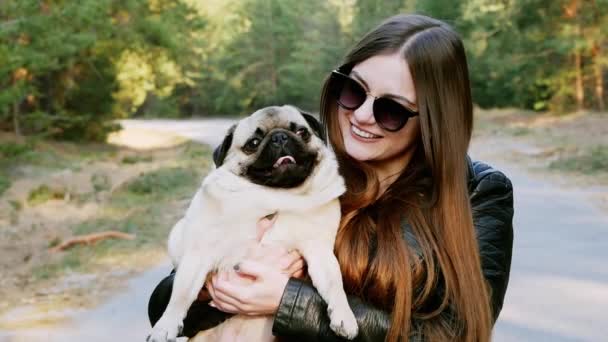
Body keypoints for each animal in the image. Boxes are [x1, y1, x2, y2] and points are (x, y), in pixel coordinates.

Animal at [146, 105, 356, 340]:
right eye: (253, 143)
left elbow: (335, 283)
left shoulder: (320, 251)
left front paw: (344, 316)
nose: (280, 137)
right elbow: (180, 295)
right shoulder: (198, 254)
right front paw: (165, 326)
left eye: (302, 132)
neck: (279, 195)